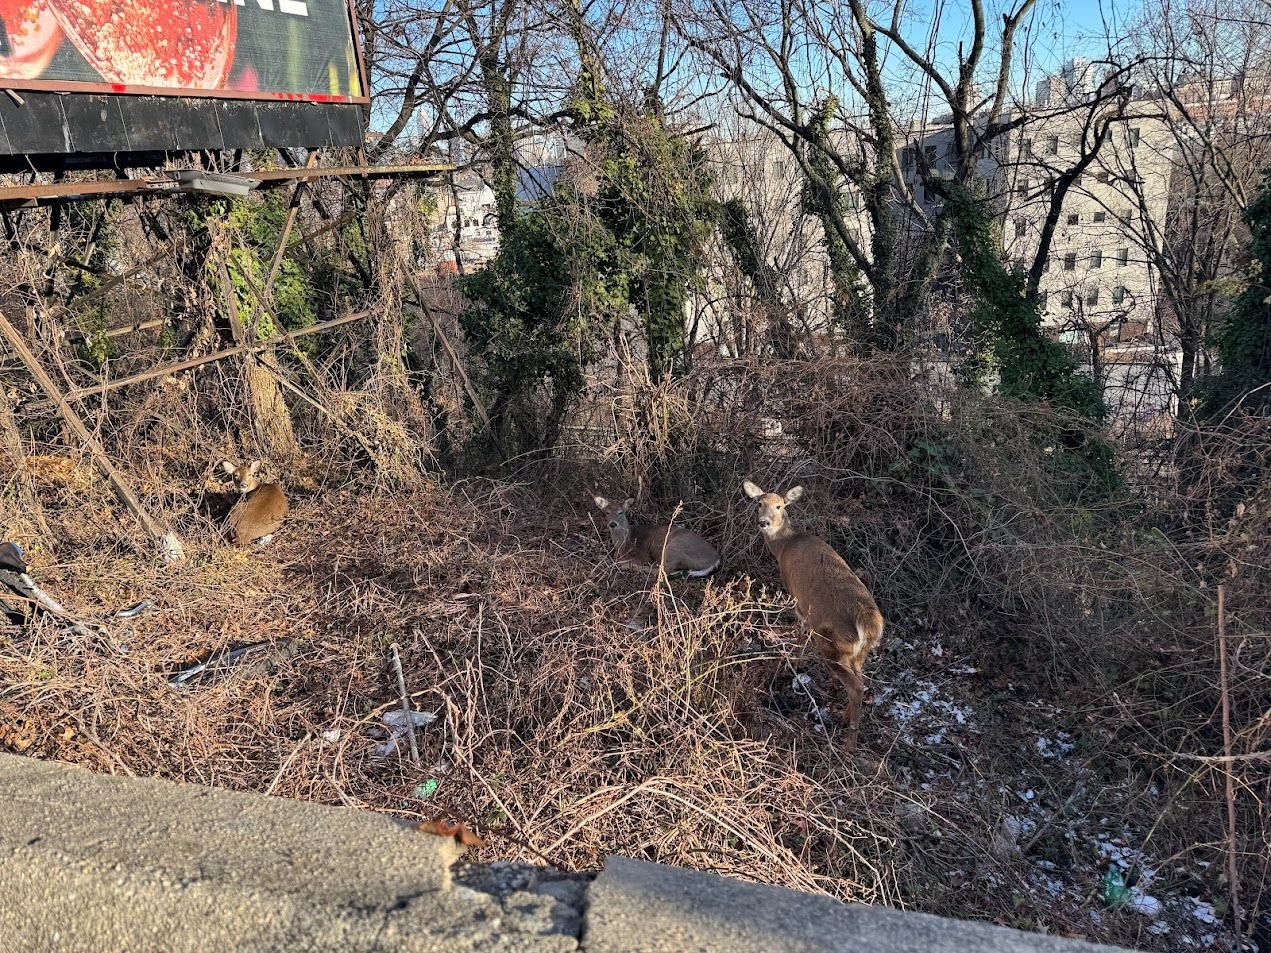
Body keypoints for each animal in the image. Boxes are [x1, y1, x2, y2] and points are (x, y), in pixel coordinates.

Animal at [742, 481, 884, 748]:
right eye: (759, 503)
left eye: (780, 506)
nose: (764, 522)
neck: (785, 545)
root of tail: (871, 622)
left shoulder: (796, 594)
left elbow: (800, 627)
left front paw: (796, 661)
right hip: (860, 651)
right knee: (861, 678)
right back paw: (845, 718)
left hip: (833, 644)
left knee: (856, 686)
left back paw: (849, 746)